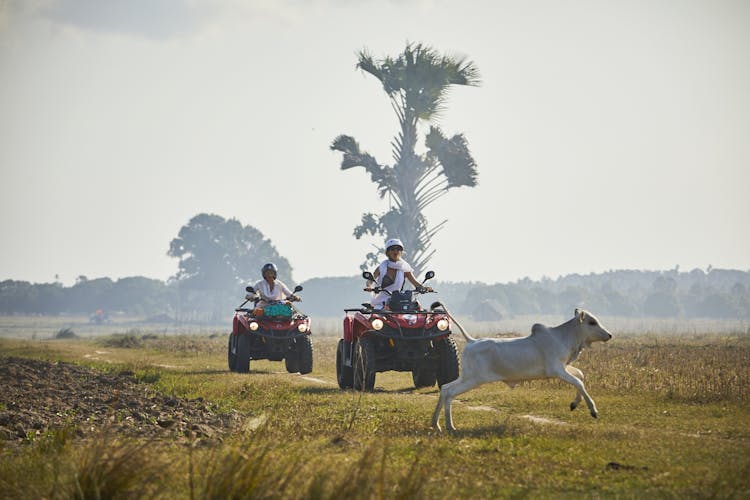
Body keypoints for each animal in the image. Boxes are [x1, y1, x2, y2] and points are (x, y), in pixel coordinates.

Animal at [432, 306, 612, 432]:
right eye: (592, 322)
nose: (609, 335)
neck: (564, 337)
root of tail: (471, 341)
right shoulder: (556, 369)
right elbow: (578, 382)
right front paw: (593, 410)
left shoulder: (563, 366)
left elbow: (580, 376)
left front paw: (574, 404)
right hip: (474, 380)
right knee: (450, 393)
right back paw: (449, 426)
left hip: (466, 377)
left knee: (445, 388)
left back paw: (436, 424)